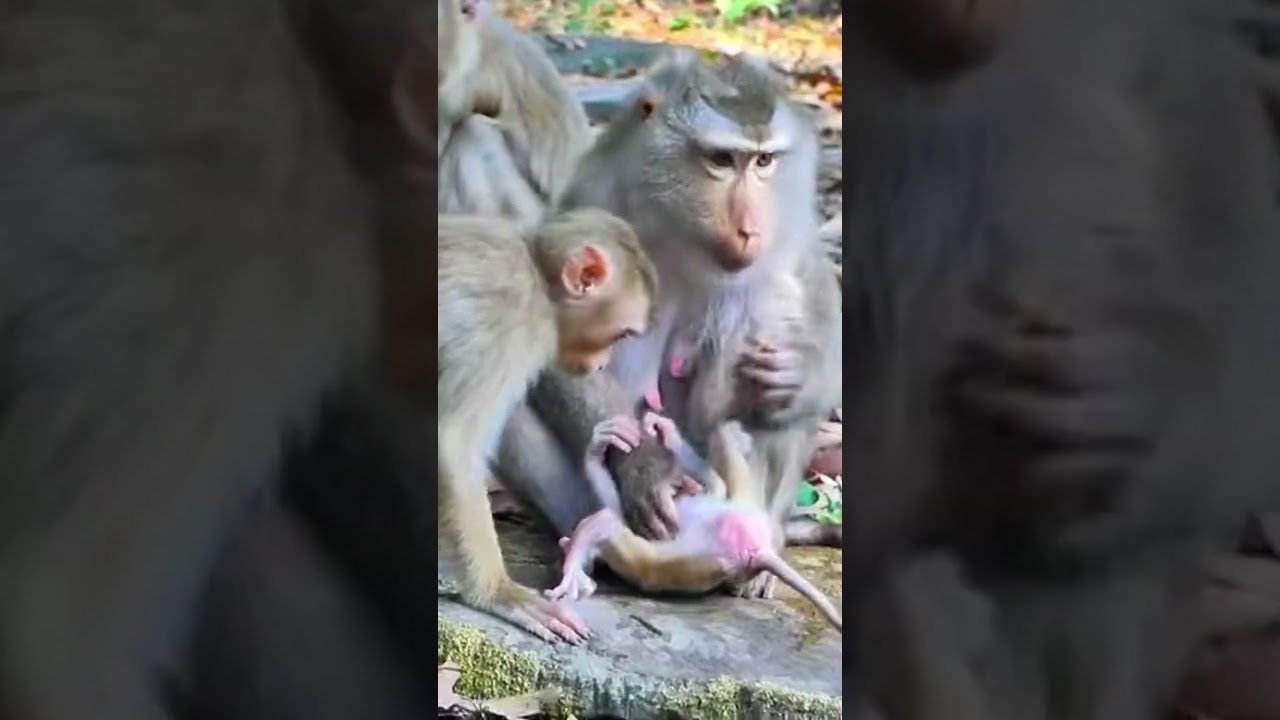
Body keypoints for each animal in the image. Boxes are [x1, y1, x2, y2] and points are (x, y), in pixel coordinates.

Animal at [437, 208, 657, 643]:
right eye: (621, 333)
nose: (603, 364)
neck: (539, 276)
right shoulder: (513, 322)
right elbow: (454, 442)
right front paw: (497, 592)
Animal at [491, 53, 842, 601]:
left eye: (764, 161)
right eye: (722, 160)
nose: (749, 229)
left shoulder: (789, 225)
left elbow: (818, 304)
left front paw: (796, 375)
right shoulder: (596, 193)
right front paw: (645, 469)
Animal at [544, 410, 845, 632]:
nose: (683, 488)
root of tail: (757, 553)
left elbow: (610, 513)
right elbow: (608, 516)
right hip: (731, 522)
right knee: (721, 456)